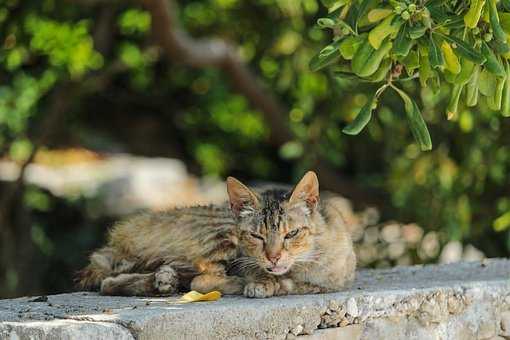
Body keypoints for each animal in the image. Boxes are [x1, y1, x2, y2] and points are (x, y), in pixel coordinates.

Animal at [76, 170, 354, 298]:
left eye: (292, 233)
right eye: (257, 237)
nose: (273, 258)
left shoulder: (335, 281)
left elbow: (301, 284)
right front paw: (261, 282)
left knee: (111, 281)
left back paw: (162, 280)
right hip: (221, 235)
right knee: (200, 279)